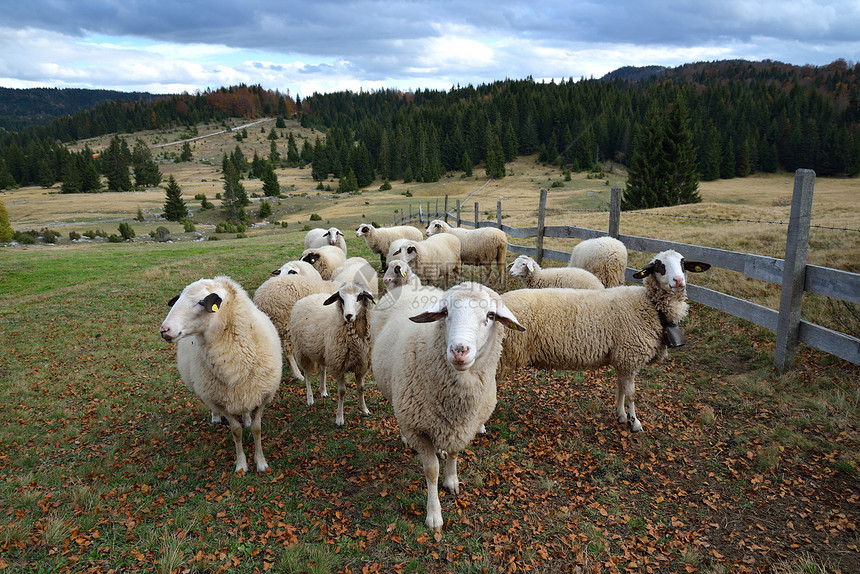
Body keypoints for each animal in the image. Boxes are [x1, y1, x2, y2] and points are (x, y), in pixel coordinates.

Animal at [160, 276, 282, 474]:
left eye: (201, 302)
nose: (164, 330)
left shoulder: (262, 396)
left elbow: (257, 429)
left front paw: (261, 462)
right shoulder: (220, 400)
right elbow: (236, 431)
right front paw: (241, 464)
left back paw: (246, 418)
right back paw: (215, 418)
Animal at [290, 282, 374, 428]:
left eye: (359, 297)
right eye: (341, 299)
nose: (348, 316)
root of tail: (306, 297)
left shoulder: (361, 365)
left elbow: (361, 388)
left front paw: (364, 410)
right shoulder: (339, 366)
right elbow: (342, 392)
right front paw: (339, 419)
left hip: (322, 352)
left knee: (322, 369)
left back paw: (323, 391)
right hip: (302, 351)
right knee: (307, 374)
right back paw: (310, 398)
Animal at [374, 286, 524, 532]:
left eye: (491, 315)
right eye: (445, 313)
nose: (459, 350)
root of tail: (407, 286)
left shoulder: (463, 427)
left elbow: (455, 452)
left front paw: (451, 480)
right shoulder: (418, 429)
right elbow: (431, 470)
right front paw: (434, 515)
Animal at [500, 251, 708, 432]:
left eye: (683, 263)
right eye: (659, 266)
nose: (678, 281)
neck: (649, 306)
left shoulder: (623, 358)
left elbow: (621, 388)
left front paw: (621, 415)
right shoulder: (630, 355)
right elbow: (631, 393)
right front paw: (635, 423)